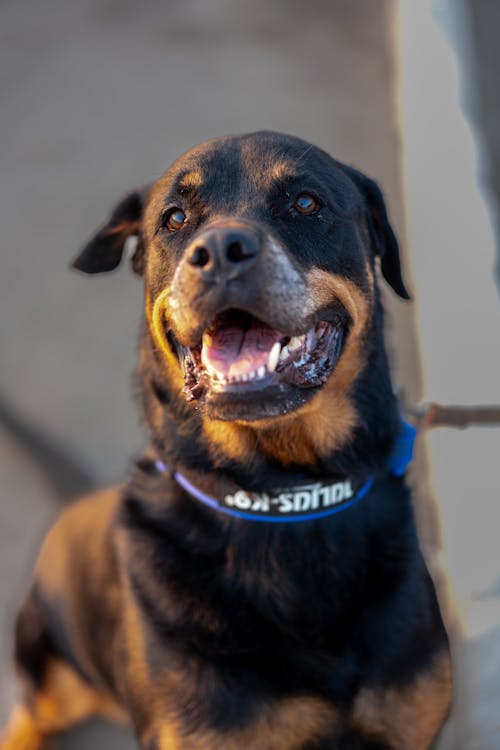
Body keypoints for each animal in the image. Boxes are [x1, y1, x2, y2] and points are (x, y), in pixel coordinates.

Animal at [0, 132, 454, 748]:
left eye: (306, 203)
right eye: (174, 218)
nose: (219, 250)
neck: (280, 493)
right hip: (49, 663)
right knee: (30, 708)